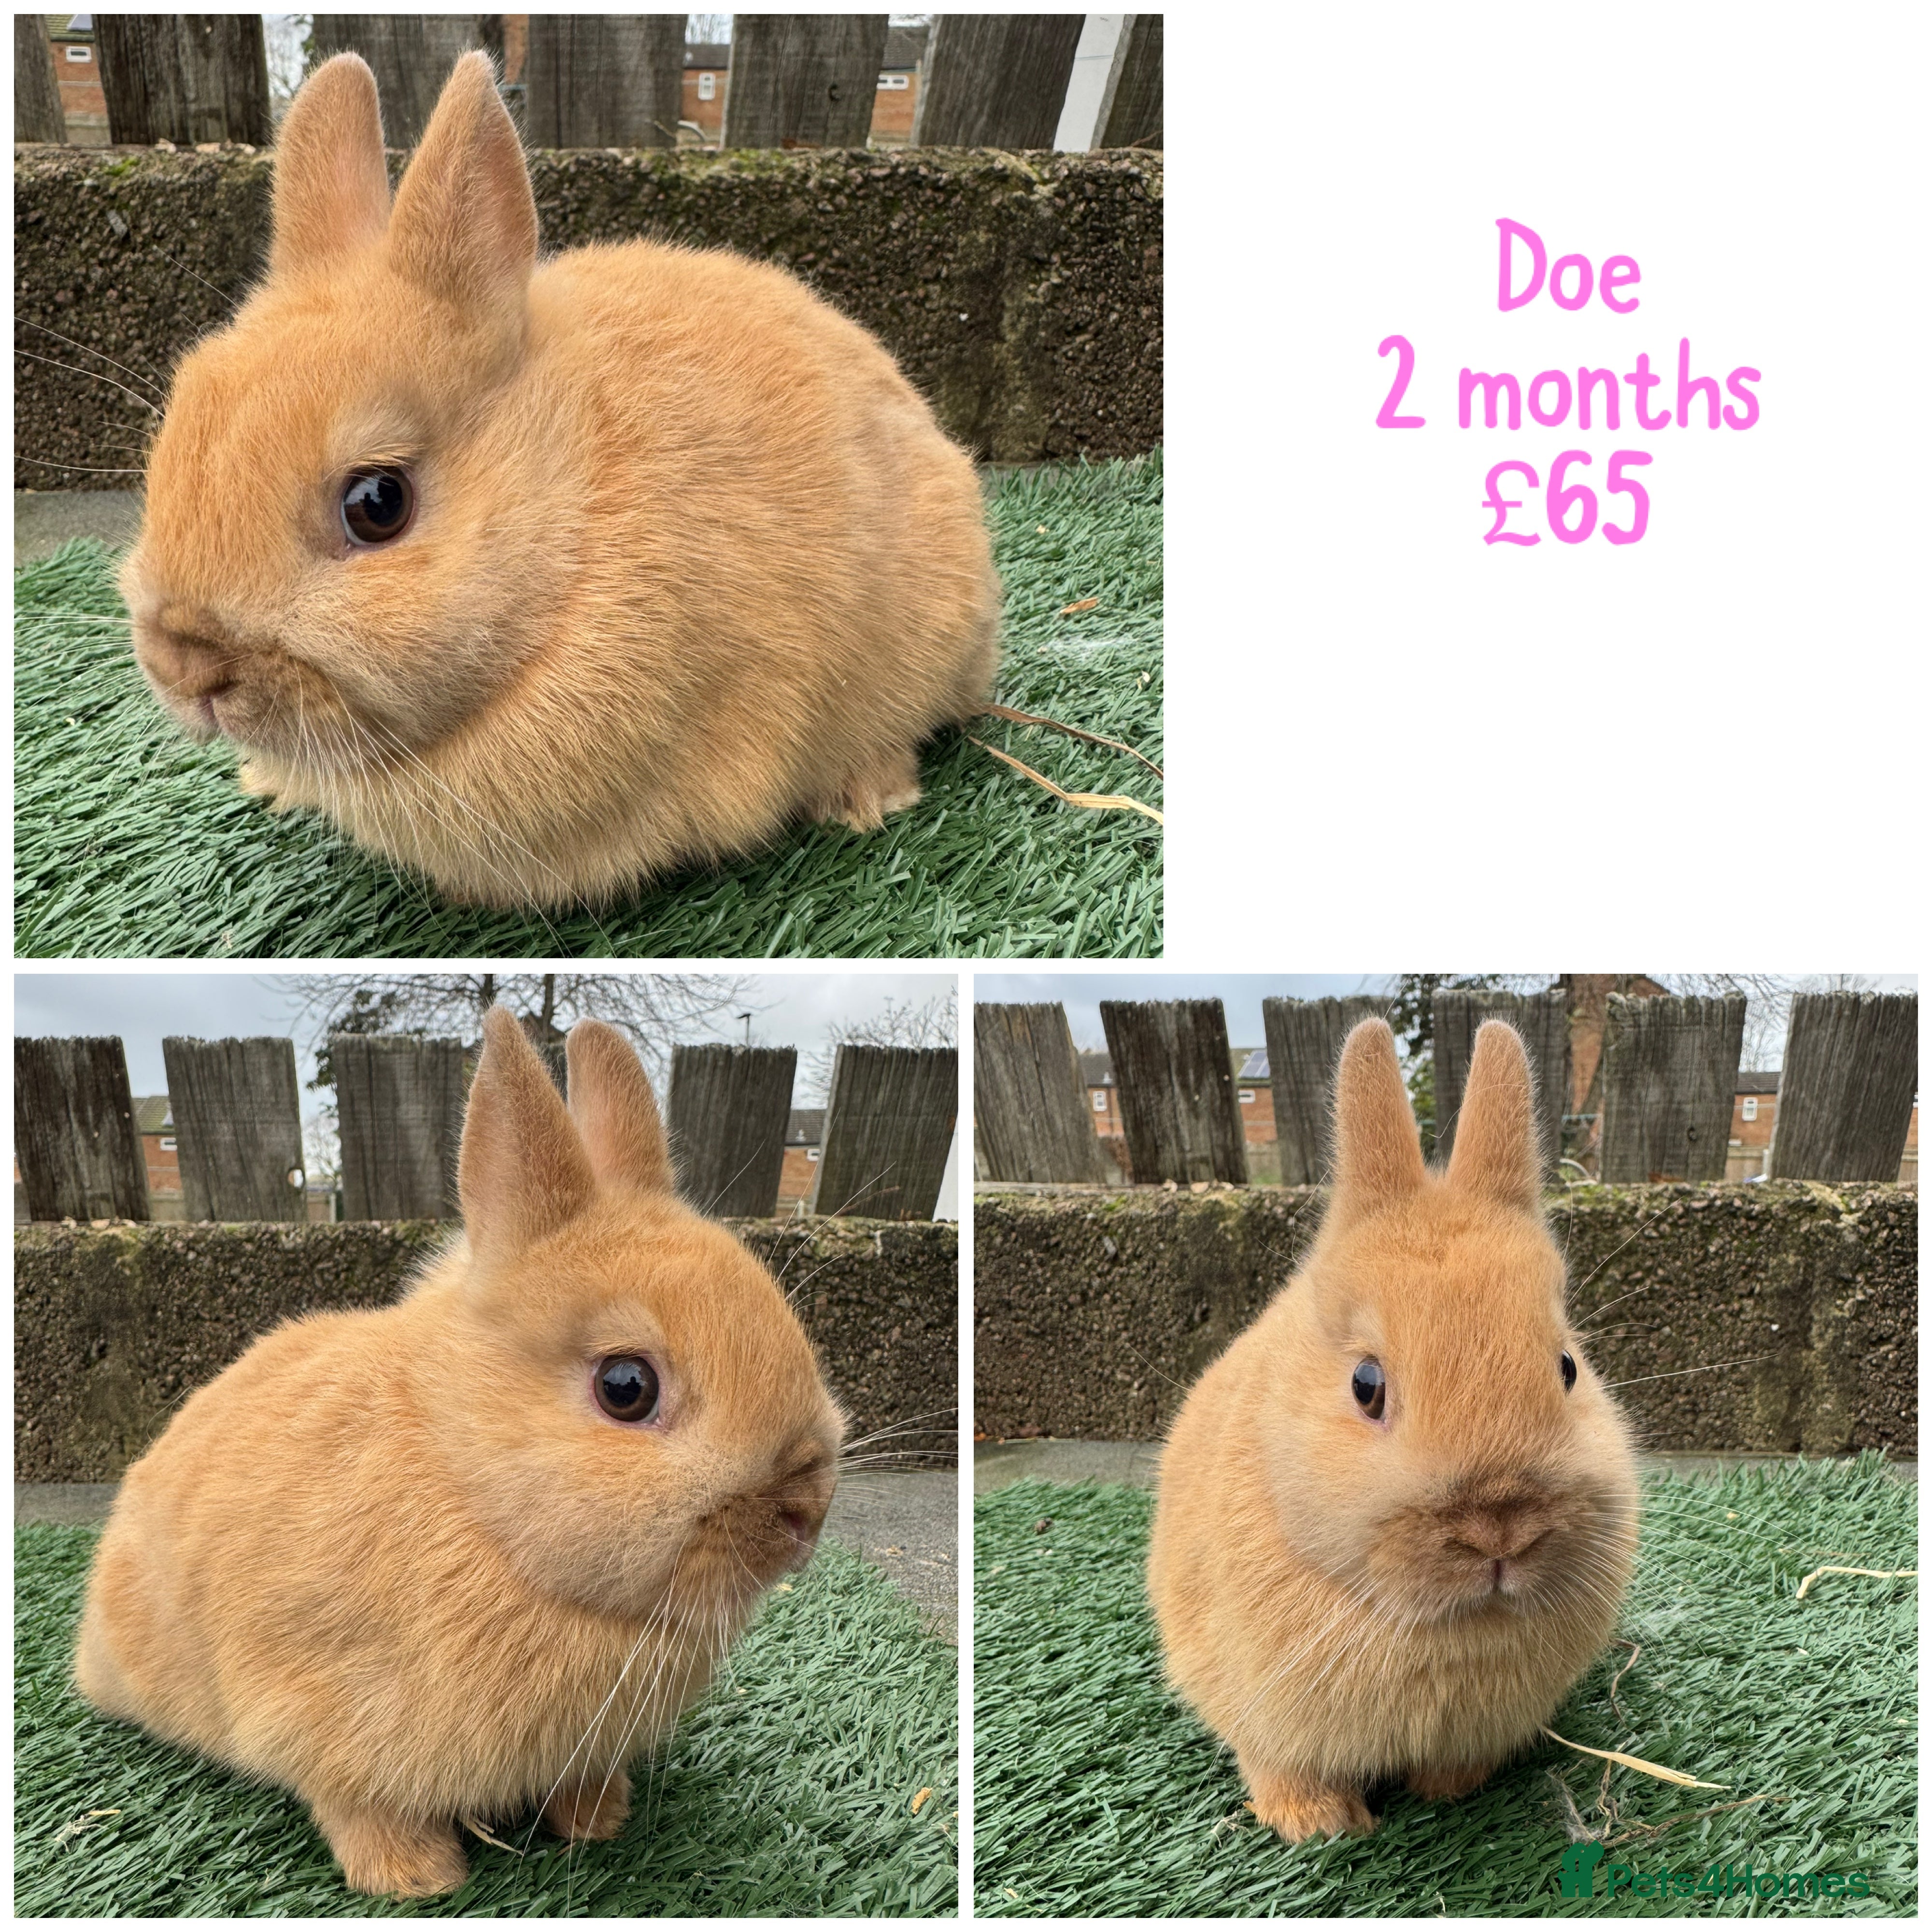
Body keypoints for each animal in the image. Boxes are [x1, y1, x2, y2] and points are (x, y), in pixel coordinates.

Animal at [72, 1006, 845, 1898]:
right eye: (626, 1387)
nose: (805, 1515)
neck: (468, 1490)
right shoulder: (308, 1711)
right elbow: (353, 1803)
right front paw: (417, 1877)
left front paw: (599, 1820)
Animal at [1147, 1018, 1639, 1843]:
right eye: (1366, 1386)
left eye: (1568, 1367)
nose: (1501, 1529)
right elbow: (1273, 1759)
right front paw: (1318, 1824)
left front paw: (1449, 1790)